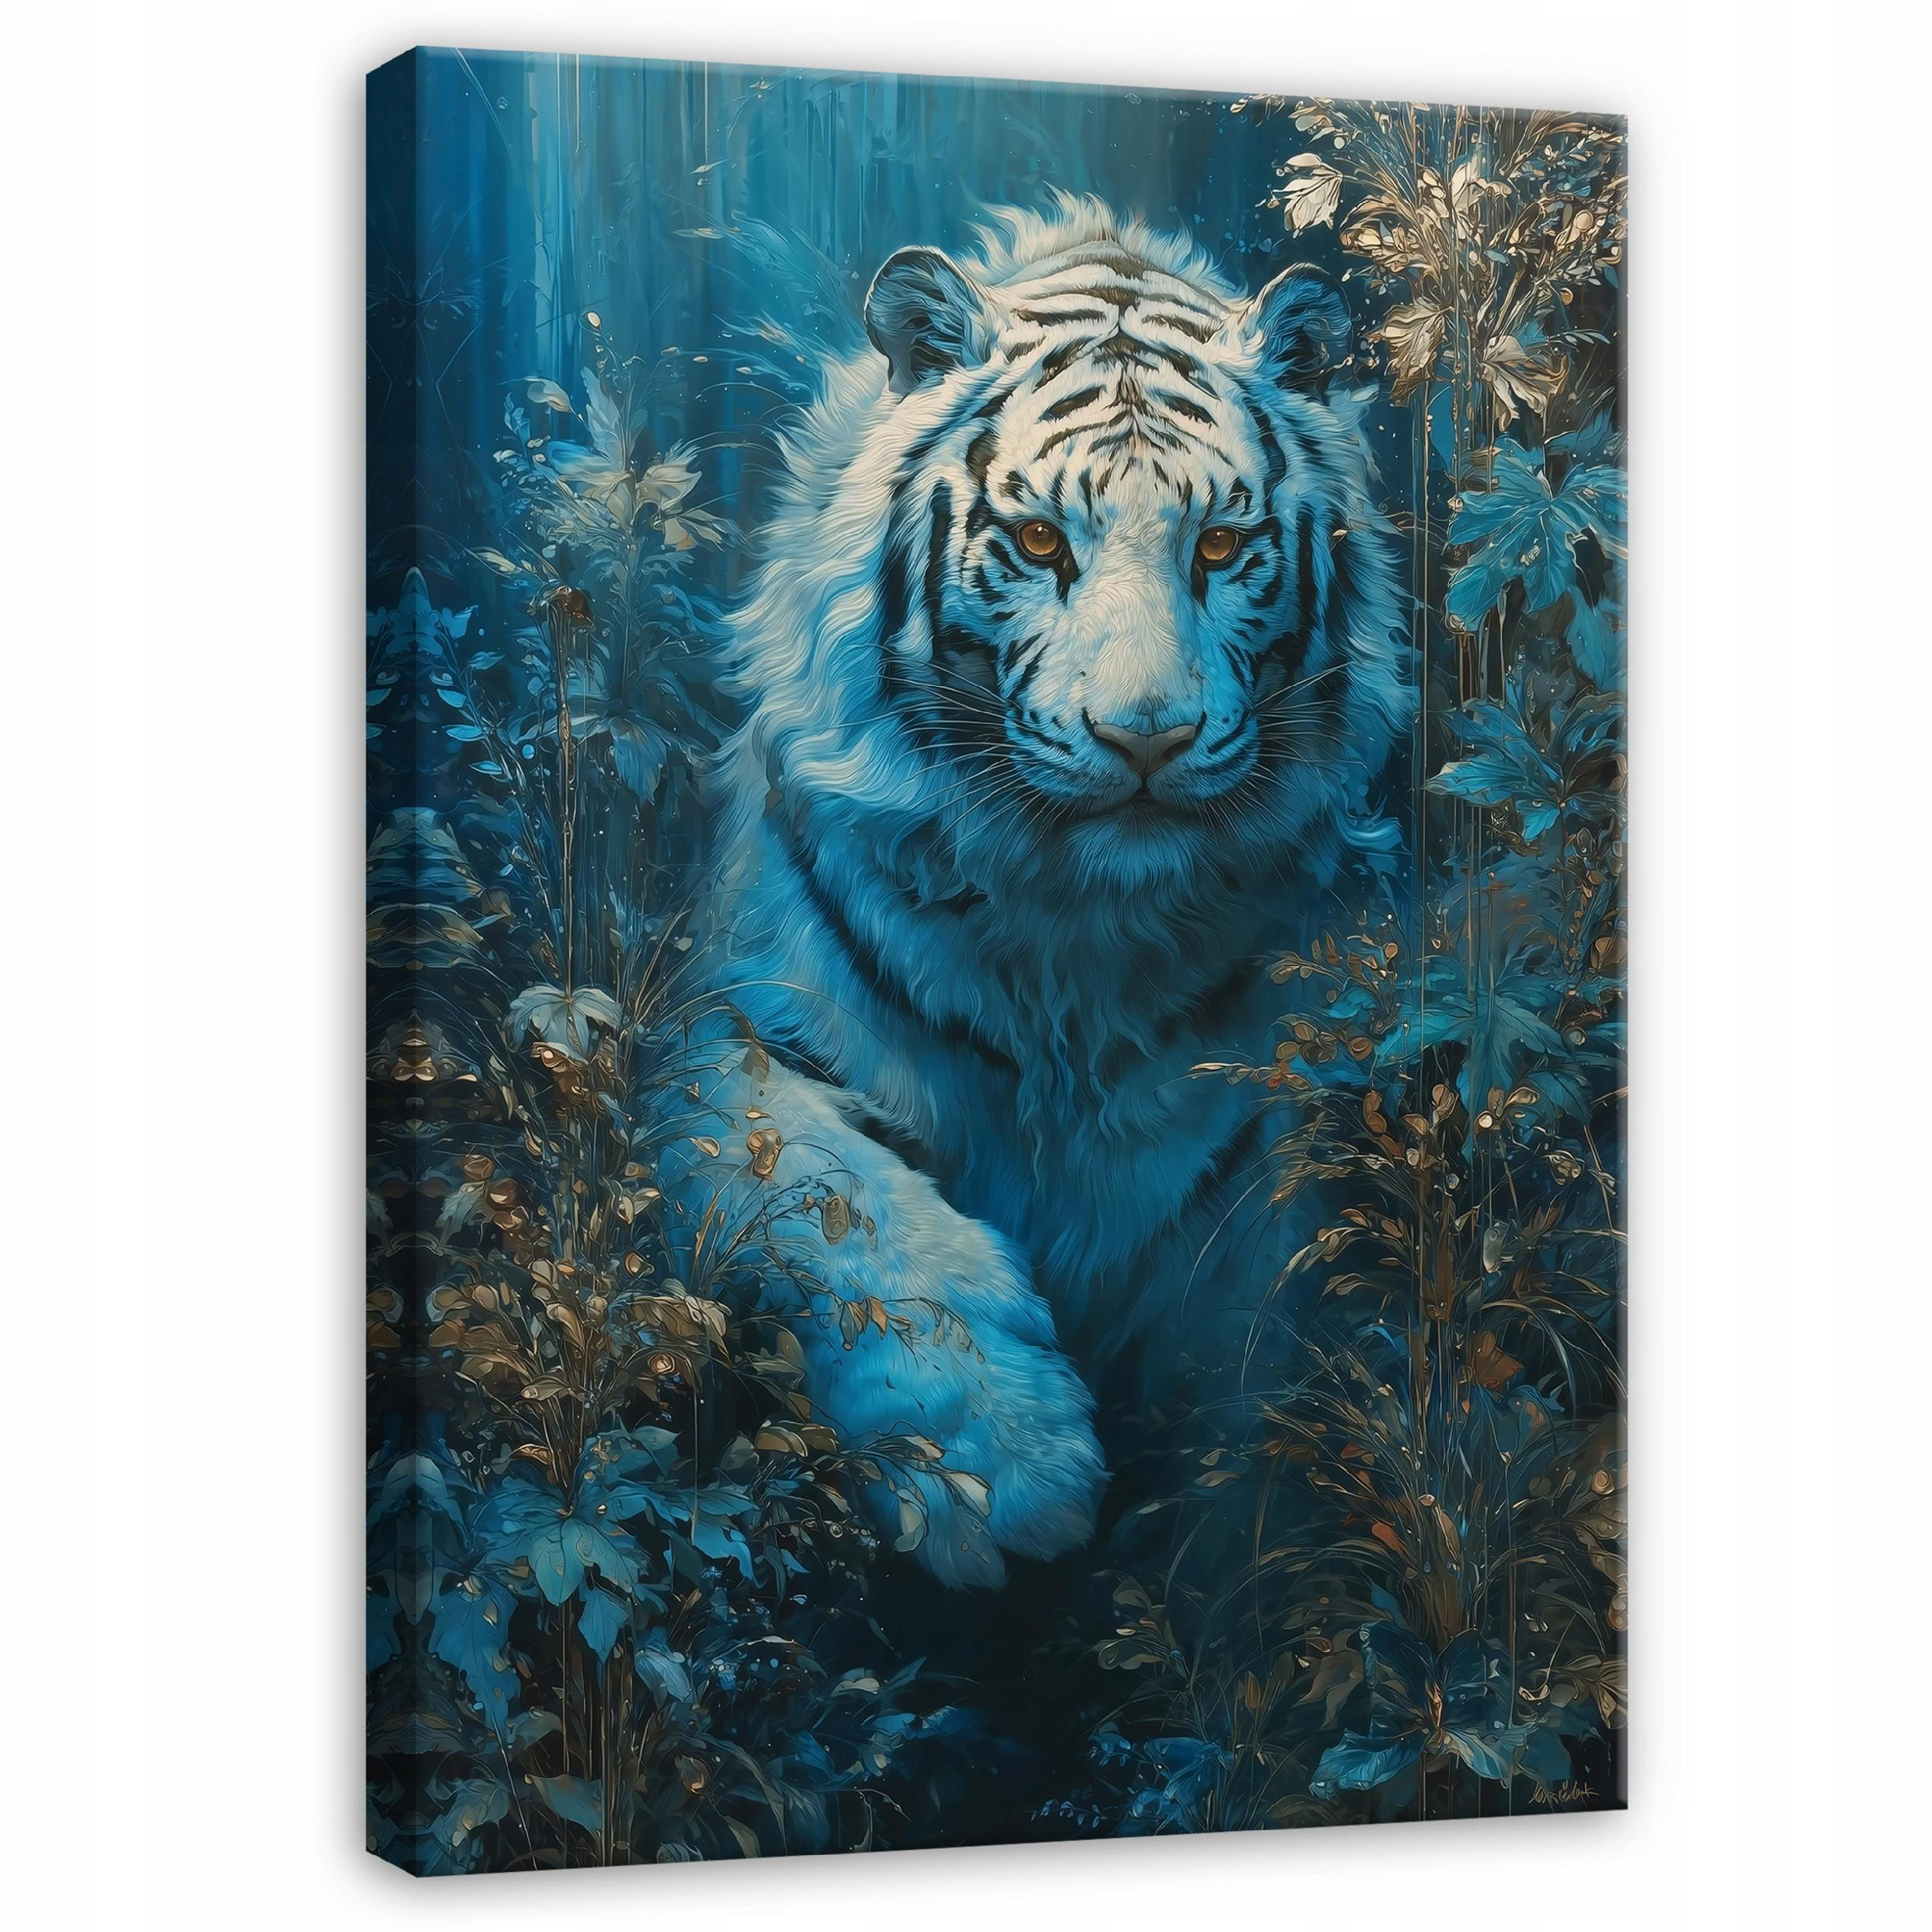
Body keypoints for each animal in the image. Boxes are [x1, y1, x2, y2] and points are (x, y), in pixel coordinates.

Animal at [655, 196, 1411, 1588]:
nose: (1147, 739)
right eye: (1042, 541)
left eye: (1222, 544)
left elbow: (1260, 1353)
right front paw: (997, 1471)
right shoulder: (719, 1034)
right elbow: (846, 1205)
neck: (1076, 937)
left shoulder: (1265, 1129)